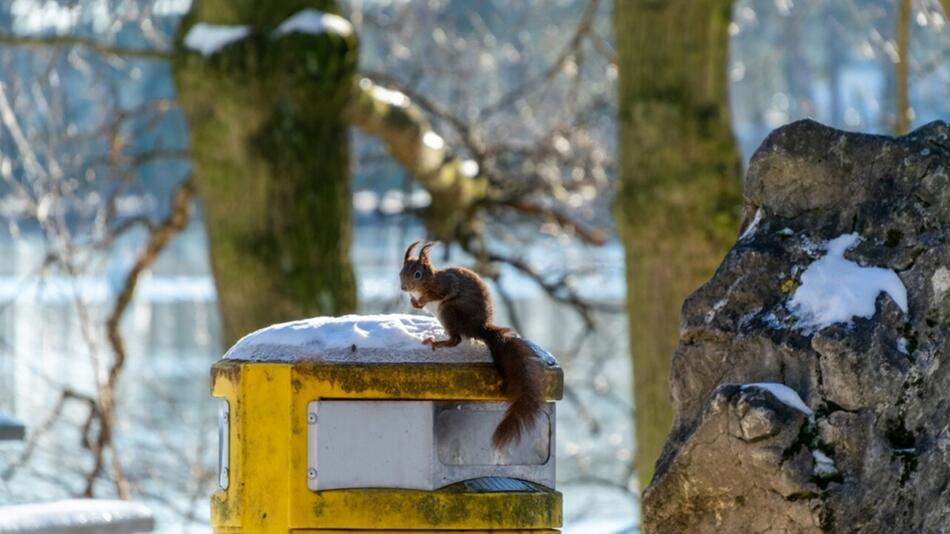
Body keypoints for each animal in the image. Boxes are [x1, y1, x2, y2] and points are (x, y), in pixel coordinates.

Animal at [400, 241, 548, 450]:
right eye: (401, 271)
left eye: (417, 274)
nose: (404, 287)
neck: (430, 280)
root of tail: (479, 328)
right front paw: (415, 302)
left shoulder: (446, 284)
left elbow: (441, 292)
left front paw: (422, 300)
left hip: (449, 310)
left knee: (456, 339)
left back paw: (436, 342)